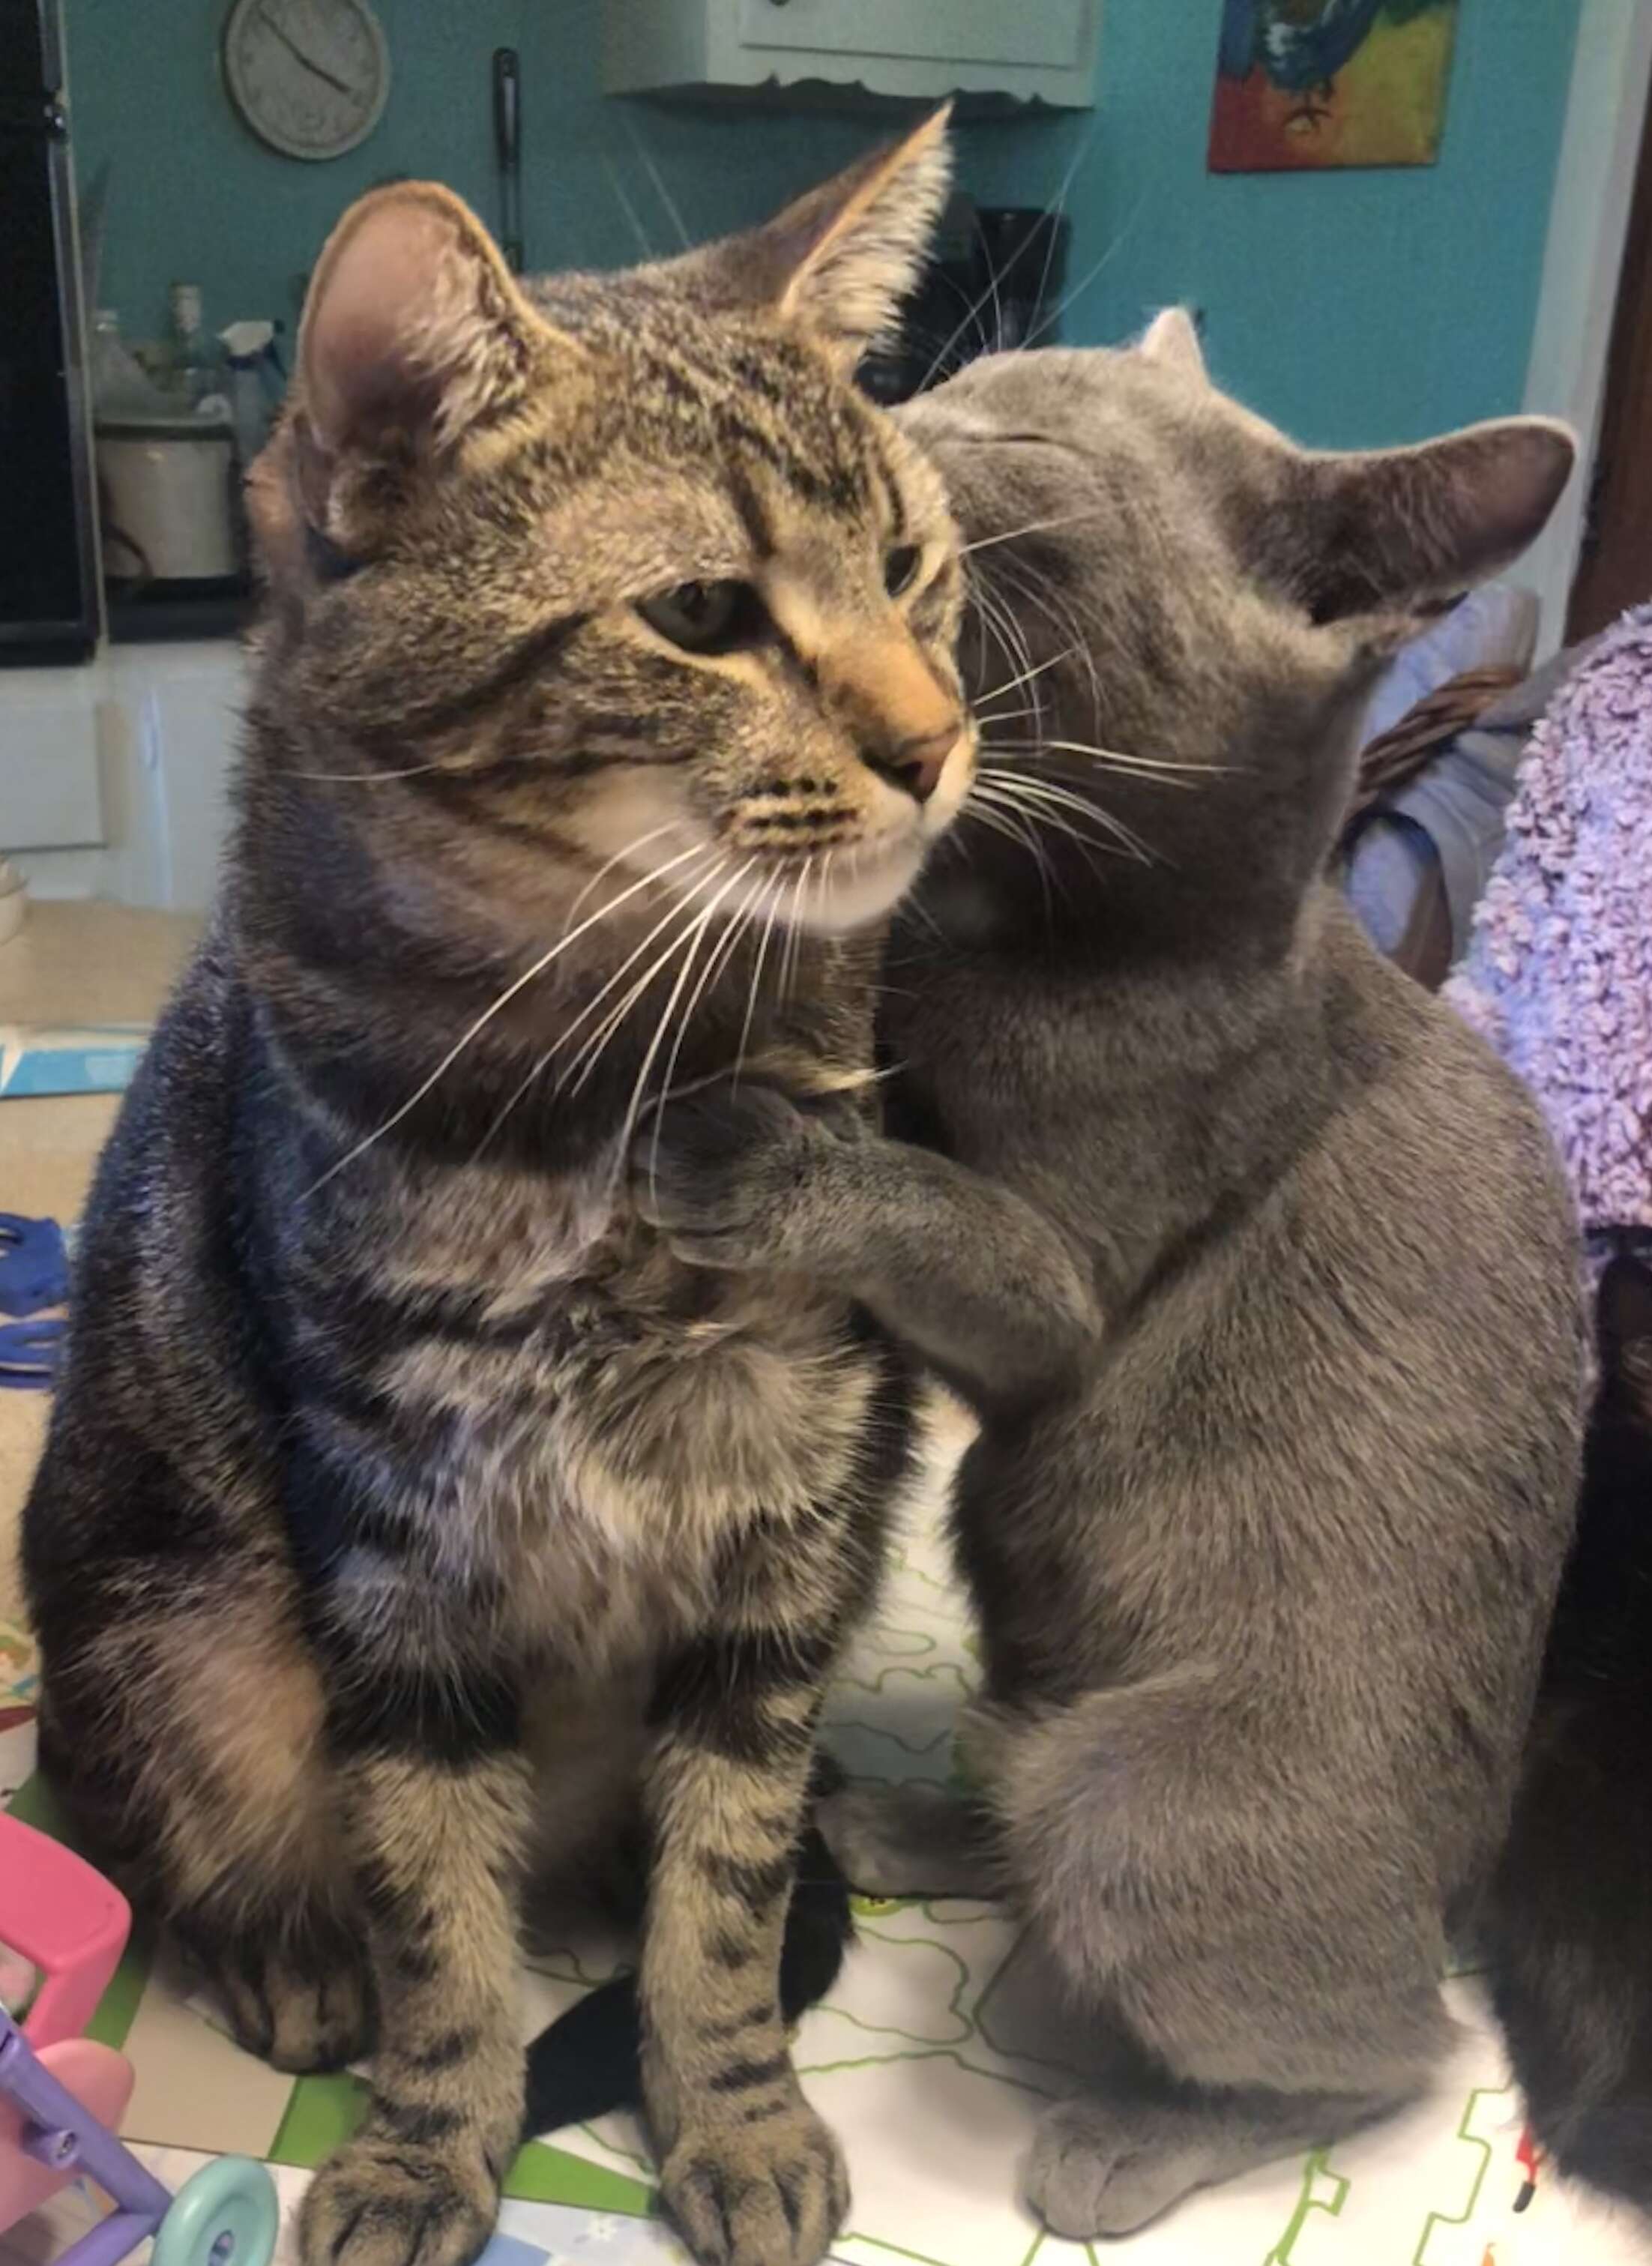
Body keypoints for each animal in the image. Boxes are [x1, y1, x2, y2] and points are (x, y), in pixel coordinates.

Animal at [22, 115, 965, 2266]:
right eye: (701, 611)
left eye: (911, 567)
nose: (940, 737)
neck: (628, 1099)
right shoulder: (396, 1563)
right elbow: (434, 1898)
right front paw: (422, 2142)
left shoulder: (786, 1533)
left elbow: (726, 1886)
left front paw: (736, 2106)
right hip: (170, 1621)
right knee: (177, 1834)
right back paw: (291, 1961)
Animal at [630, 319, 1586, 2229]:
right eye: (972, 377)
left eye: (1015, 445)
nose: (885, 415)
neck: (1044, 914)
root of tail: (1447, 1898)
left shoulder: (1061, 1281)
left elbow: (936, 1204)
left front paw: (757, 1150)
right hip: (1048, 1691)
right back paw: (913, 1818)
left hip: (1139, 1802)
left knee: (1382, 2056)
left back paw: (1128, 2132)